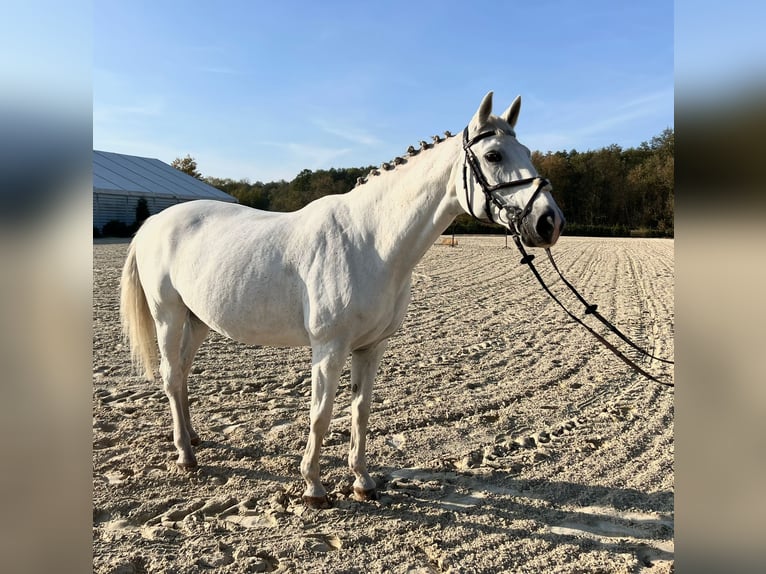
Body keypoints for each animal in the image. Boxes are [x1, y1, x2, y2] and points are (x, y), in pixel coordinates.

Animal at [120, 92, 564, 510]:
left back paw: (193, 437)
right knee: (170, 375)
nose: (549, 221)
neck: (369, 240)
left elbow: (360, 412)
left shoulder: (371, 348)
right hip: (168, 316)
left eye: (527, 152)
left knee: (182, 375)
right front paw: (314, 488)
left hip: (198, 321)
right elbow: (320, 416)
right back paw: (185, 455)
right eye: (493, 155)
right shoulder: (328, 349)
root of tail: (154, 222)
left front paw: (362, 482)